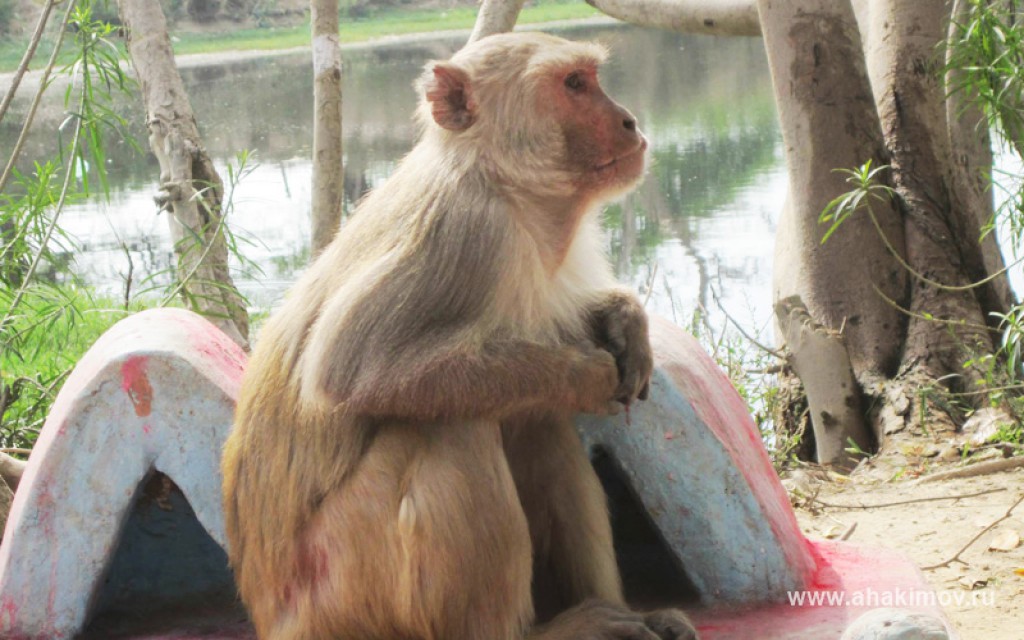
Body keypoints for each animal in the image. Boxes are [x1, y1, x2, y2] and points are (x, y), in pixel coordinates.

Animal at [221, 32, 698, 640]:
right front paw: (585, 374)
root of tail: (272, 615)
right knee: (450, 424)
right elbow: (350, 368)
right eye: (574, 84)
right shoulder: (465, 233)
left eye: (589, 78)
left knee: (533, 421)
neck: (505, 185)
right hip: (345, 583)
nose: (630, 121)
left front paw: (624, 320)